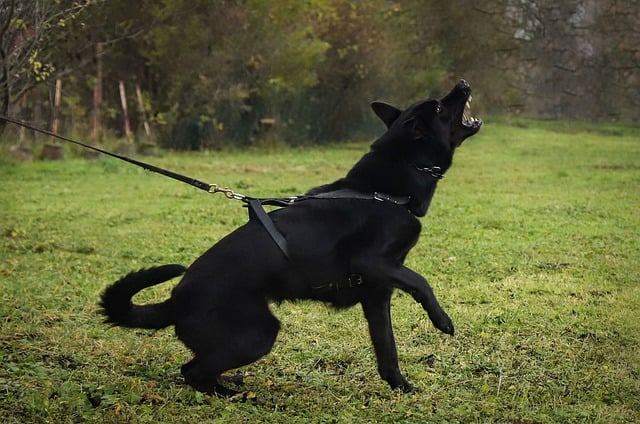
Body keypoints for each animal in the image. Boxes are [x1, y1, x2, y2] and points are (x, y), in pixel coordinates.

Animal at [99, 78, 480, 394]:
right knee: (192, 372)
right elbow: (421, 281)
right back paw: (234, 394)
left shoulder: (377, 293)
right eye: (440, 108)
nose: (463, 82)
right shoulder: (372, 263)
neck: (382, 190)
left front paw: (401, 387)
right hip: (258, 334)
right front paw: (442, 320)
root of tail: (175, 301)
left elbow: (387, 349)